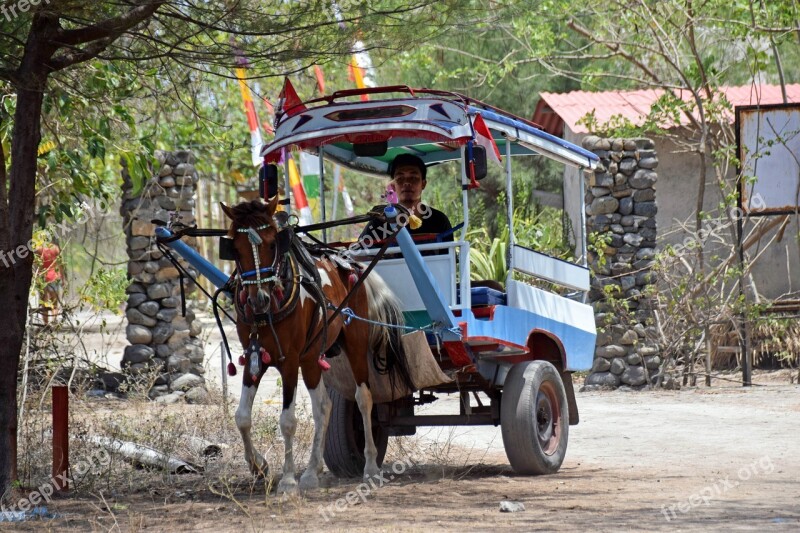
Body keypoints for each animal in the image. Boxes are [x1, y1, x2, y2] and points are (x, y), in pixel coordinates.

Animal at [219, 197, 412, 492]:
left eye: (273, 244)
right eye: (236, 250)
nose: (259, 299)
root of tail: (350, 262)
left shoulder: (289, 361)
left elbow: (287, 420)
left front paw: (288, 480)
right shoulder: (254, 356)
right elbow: (241, 417)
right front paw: (259, 466)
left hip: (354, 343)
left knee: (363, 398)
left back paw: (369, 466)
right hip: (311, 358)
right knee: (323, 406)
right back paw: (311, 472)